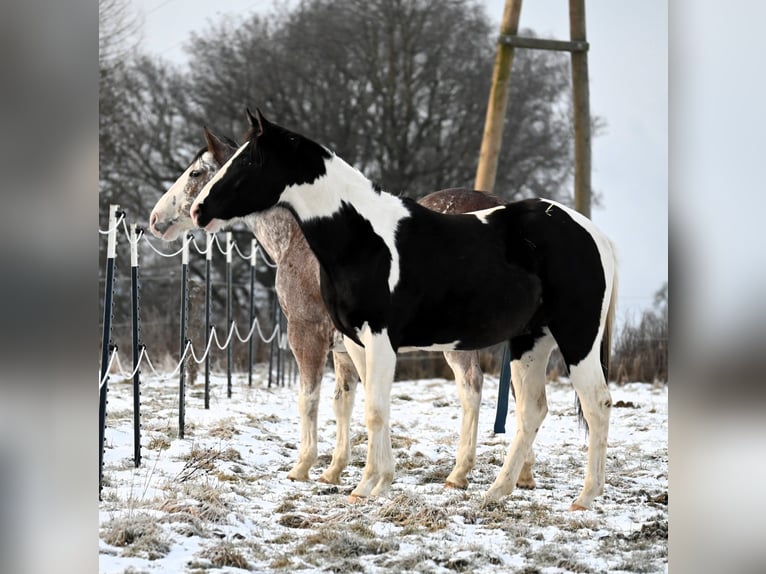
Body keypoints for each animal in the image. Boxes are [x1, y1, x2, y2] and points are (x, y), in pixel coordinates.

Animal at [149, 127, 538, 491]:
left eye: (197, 172)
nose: (156, 218)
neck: (302, 236)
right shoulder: (344, 347)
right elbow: (346, 401)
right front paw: (337, 469)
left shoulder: (307, 334)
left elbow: (311, 400)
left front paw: (305, 466)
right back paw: (522, 473)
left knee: (472, 389)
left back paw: (460, 473)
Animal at [190, 109, 618, 511]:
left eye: (248, 162)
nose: (197, 210)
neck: (362, 239)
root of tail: (594, 234)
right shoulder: (355, 342)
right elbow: (370, 406)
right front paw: (376, 482)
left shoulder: (378, 339)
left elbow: (374, 410)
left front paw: (364, 486)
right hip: (531, 342)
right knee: (533, 410)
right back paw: (497, 490)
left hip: (577, 339)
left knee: (596, 404)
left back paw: (585, 497)